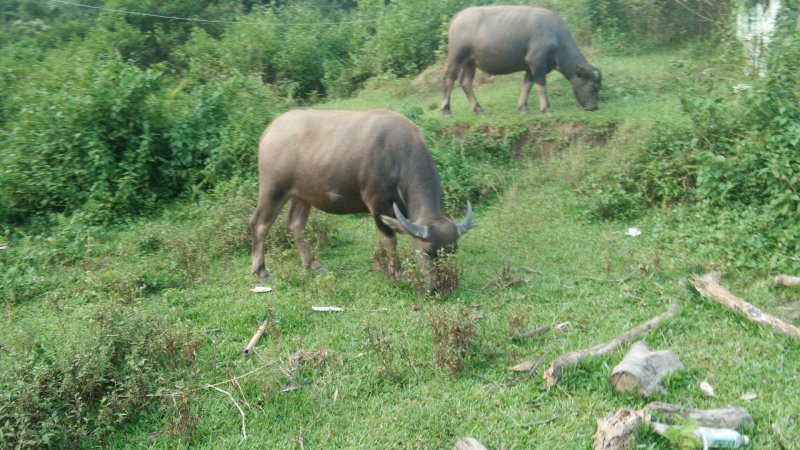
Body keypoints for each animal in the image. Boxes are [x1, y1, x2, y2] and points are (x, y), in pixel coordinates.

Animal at [250, 107, 476, 294]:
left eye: (453, 251)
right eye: (427, 251)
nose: (440, 287)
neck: (397, 155)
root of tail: (269, 131)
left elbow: (383, 236)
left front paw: (378, 264)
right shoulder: (377, 203)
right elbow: (389, 238)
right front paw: (397, 272)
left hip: (302, 195)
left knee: (295, 224)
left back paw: (312, 264)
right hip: (273, 189)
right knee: (259, 224)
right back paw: (261, 271)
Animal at [440, 6, 604, 115]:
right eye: (593, 86)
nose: (594, 107)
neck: (555, 37)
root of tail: (456, 17)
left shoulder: (531, 67)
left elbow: (527, 85)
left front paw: (523, 107)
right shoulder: (537, 61)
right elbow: (541, 86)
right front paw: (546, 109)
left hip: (471, 61)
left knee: (465, 82)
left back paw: (478, 108)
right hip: (457, 56)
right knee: (449, 78)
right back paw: (446, 110)